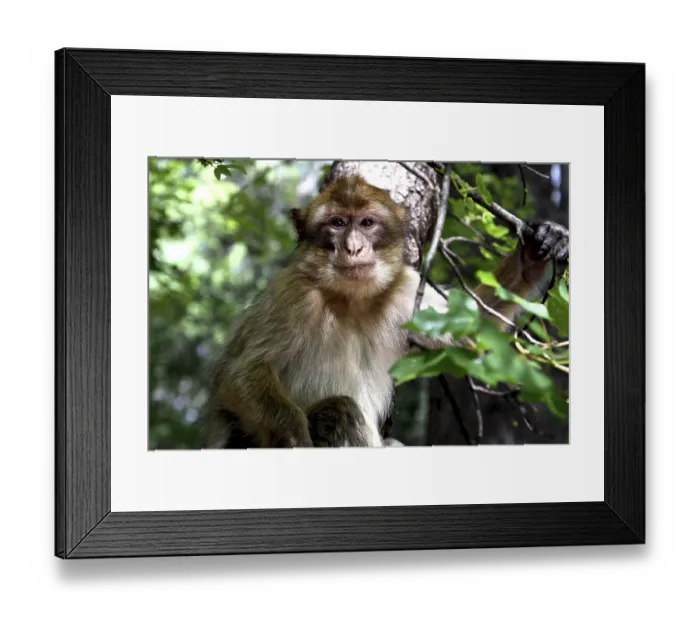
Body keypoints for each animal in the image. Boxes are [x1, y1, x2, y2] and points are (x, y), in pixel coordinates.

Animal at [203, 173, 569, 450]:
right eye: (337, 223)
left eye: (367, 223)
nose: (353, 247)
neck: (351, 301)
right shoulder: (293, 295)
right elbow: (239, 373)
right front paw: (294, 440)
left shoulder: (405, 290)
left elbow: (472, 326)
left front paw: (535, 251)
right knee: (340, 410)